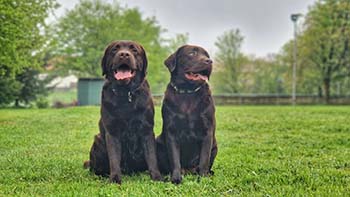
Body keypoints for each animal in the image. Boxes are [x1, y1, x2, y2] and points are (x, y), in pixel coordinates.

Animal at [85, 40, 161, 184]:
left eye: (134, 50)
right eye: (115, 49)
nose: (124, 54)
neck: (126, 93)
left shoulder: (147, 130)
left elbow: (152, 157)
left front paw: (157, 177)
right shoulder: (112, 132)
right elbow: (114, 159)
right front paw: (115, 179)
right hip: (98, 140)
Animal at [157, 45, 217, 184]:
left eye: (206, 55)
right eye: (192, 53)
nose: (209, 61)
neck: (187, 92)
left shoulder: (207, 131)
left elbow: (204, 158)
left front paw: (203, 177)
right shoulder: (171, 132)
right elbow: (174, 159)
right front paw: (176, 179)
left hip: (215, 145)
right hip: (158, 143)